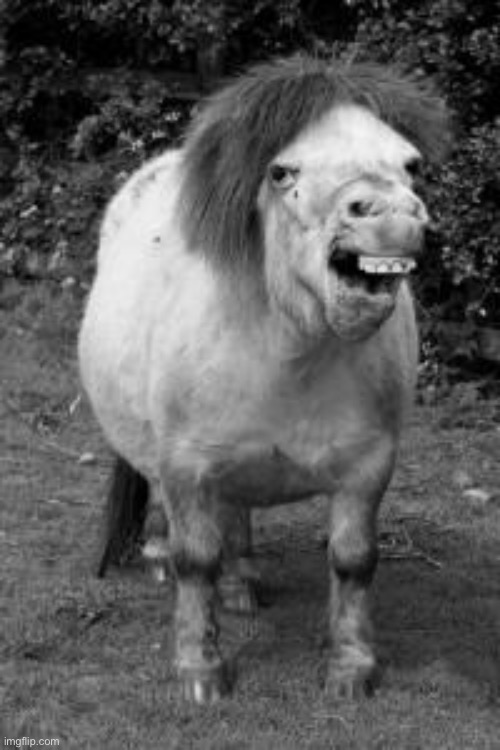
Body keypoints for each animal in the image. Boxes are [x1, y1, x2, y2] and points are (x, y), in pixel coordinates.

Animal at [78, 54, 449, 704]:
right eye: (282, 171)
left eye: (410, 164)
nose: (392, 215)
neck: (290, 353)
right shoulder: (186, 464)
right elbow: (195, 560)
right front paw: (200, 670)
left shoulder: (368, 466)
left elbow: (354, 560)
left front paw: (351, 669)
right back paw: (166, 560)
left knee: (237, 516)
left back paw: (241, 586)